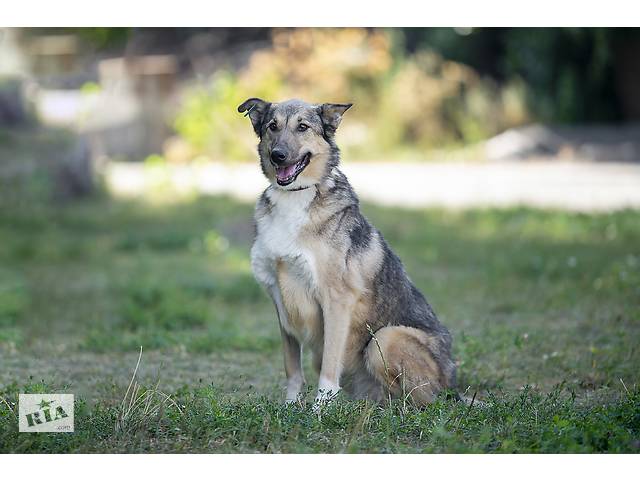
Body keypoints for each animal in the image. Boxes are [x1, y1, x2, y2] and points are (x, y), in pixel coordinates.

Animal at [239, 98, 456, 408]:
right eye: (272, 126)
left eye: (302, 127)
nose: (278, 155)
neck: (296, 196)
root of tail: (453, 387)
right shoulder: (280, 301)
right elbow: (292, 369)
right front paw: (291, 407)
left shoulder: (336, 300)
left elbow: (330, 369)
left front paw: (318, 411)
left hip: (386, 338)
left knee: (421, 401)